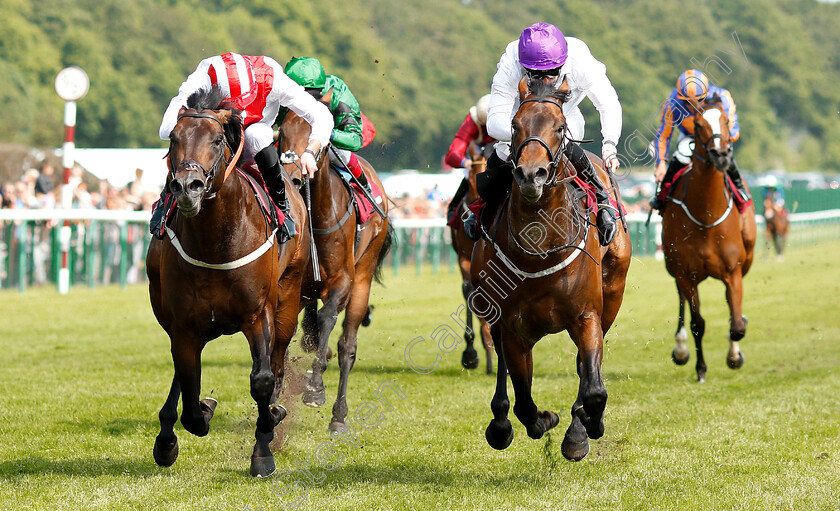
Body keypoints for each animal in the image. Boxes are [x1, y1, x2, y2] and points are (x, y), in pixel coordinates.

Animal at [146, 86, 310, 478]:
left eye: (218, 140)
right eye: (173, 139)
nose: (187, 187)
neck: (216, 241)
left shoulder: (257, 314)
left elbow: (262, 380)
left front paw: (263, 449)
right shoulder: (184, 324)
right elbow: (191, 397)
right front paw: (194, 418)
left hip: (288, 300)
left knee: (277, 363)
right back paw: (167, 436)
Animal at [276, 99, 394, 432]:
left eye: (316, 136)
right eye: (282, 133)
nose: (293, 178)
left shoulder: (343, 281)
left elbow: (328, 319)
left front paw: (315, 387)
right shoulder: (293, 284)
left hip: (364, 274)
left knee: (347, 346)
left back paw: (339, 415)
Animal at [472, 78, 632, 462]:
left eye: (560, 128)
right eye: (515, 125)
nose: (532, 174)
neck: (539, 250)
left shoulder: (587, 316)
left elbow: (594, 389)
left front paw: (584, 429)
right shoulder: (514, 328)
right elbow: (524, 402)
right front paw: (542, 420)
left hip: (613, 294)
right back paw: (500, 424)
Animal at [664, 96, 756, 384]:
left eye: (726, 119)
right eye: (698, 124)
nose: (721, 155)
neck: (706, 216)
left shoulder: (733, 271)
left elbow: (736, 325)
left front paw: (735, 356)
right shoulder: (687, 273)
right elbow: (698, 324)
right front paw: (700, 368)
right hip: (673, 267)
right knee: (682, 301)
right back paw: (680, 348)